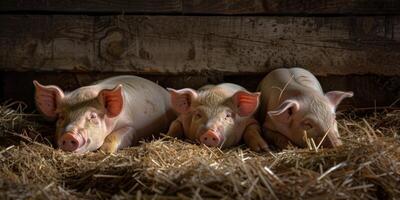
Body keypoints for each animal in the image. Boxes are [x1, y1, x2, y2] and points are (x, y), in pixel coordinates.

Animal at [35, 75, 176, 153]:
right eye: (61, 116)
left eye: (93, 116)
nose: (69, 135)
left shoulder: (131, 127)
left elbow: (112, 137)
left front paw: (104, 153)